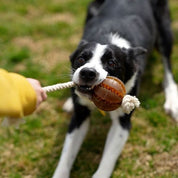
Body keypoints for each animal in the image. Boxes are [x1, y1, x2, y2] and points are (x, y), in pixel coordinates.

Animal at [52, 0, 178, 177]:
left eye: (112, 63)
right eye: (81, 59)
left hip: (164, 28)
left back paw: (172, 100)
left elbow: (108, 159)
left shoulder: (122, 122)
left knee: (167, 66)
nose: (87, 72)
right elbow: (67, 154)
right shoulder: (79, 117)